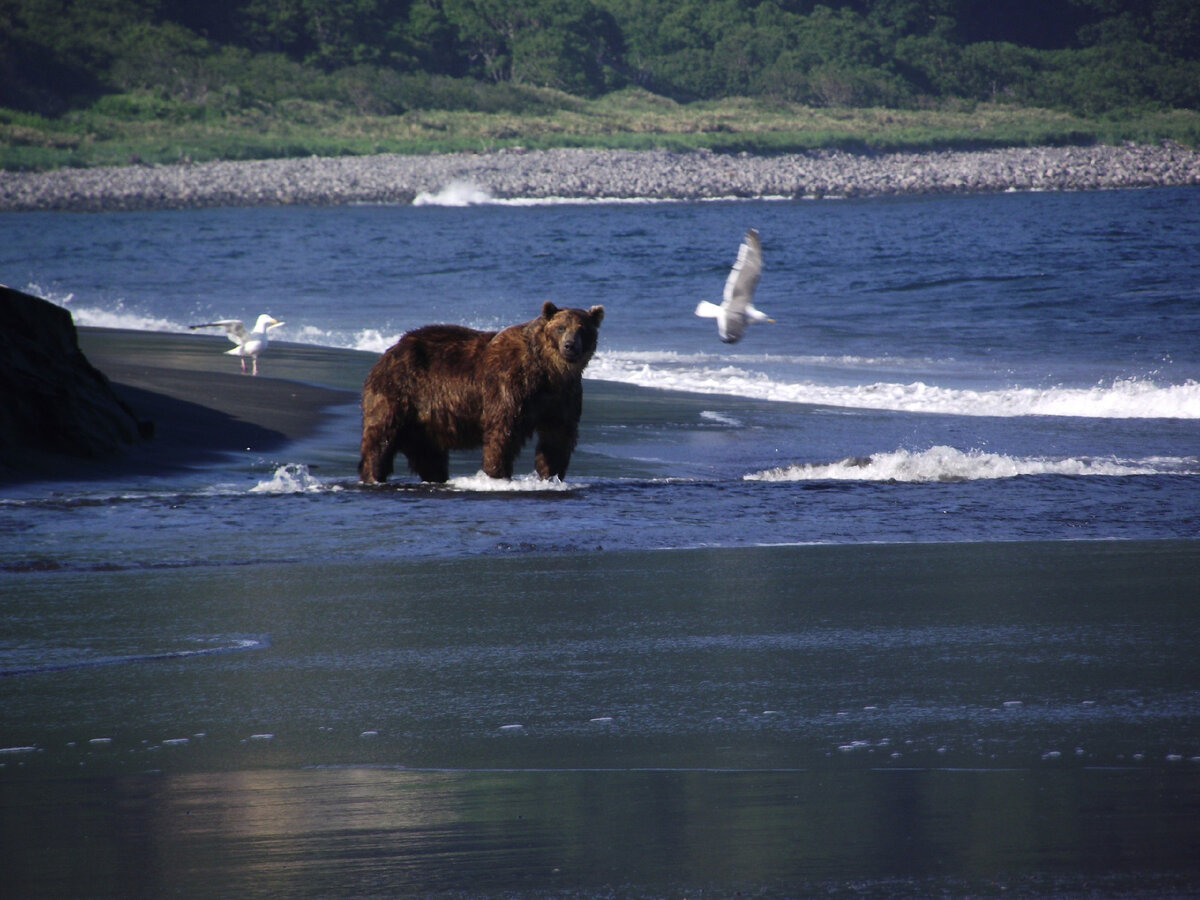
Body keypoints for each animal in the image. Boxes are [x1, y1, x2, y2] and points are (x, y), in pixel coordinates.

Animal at [355, 301, 600, 487]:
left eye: (582, 329)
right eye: (561, 327)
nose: (570, 346)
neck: (548, 371)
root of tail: (388, 353)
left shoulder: (562, 396)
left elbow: (557, 437)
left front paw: (551, 476)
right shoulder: (510, 385)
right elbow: (502, 431)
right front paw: (497, 475)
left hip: (423, 421)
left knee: (428, 454)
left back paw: (436, 478)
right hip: (399, 393)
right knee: (381, 437)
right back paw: (373, 475)